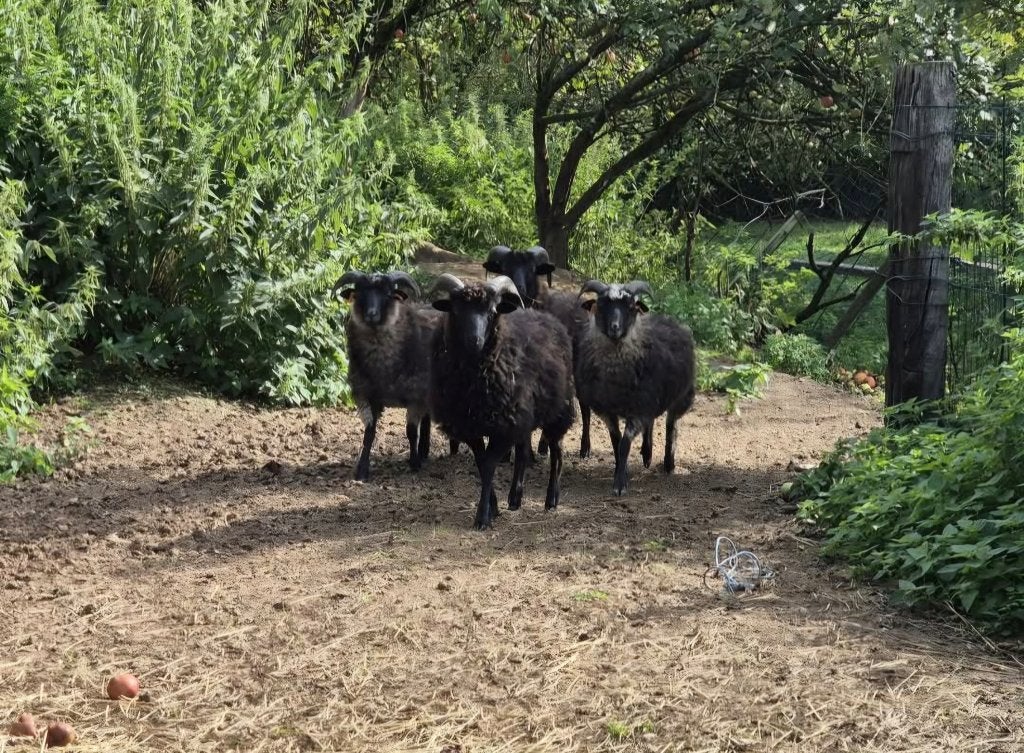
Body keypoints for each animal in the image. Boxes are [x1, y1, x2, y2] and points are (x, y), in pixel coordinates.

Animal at [333, 270, 442, 481]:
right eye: (359, 293)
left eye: (388, 294)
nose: (371, 314)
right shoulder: (369, 396)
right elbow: (369, 433)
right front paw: (362, 470)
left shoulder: (415, 396)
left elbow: (411, 432)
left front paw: (414, 463)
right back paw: (424, 452)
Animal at [429, 273, 575, 529]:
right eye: (456, 310)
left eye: (492, 311)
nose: (474, 340)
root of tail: (548, 317)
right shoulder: (469, 425)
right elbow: (481, 462)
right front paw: (493, 507)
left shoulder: (504, 425)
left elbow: (488, 465)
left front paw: (483, 517)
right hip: (524, 415)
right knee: (524, 451)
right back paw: (515, 497)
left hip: (557, 410)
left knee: (557, 451)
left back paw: (551, 499)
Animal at [482, 245, 593, 457]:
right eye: (504, 267)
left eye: (533, 269)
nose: (519, 289)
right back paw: (543, 446)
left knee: (585, 408)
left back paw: (585, 448)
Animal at [574, 279, 696, 496]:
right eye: (602, 305)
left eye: (630, 307)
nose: (614, 327)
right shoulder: (608, 410)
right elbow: (616, 442)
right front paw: (620, 470)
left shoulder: (639, 409)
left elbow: (624, 444)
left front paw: (620, 484)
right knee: (652, 422)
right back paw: (647, 454)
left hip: (681, 396)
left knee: (671, 426)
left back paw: (668, 464)